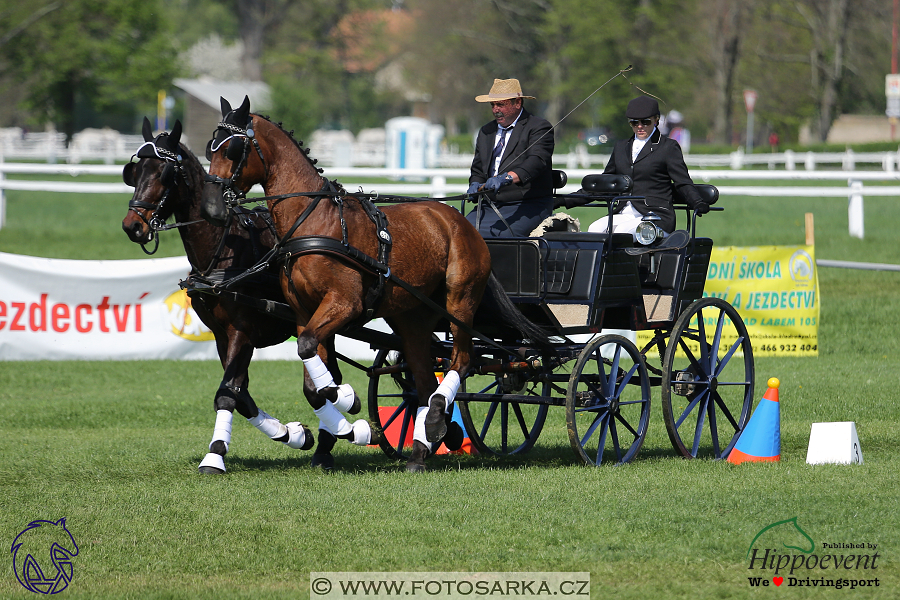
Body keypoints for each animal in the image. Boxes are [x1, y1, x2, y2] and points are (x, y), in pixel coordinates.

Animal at [122, 117, 362, 474]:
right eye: (134, 172)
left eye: (164, 172)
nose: (132, 225)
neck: (223, 249)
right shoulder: (221, 335)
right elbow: (240, 393)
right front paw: (293, 434)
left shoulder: (242, 331)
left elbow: (227, 392)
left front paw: (215, 454)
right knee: (328, 375)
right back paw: (327, 439)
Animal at [200, 97, 544, 474]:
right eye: (209, 146)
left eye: (232, 149)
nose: (211, 206)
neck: (314, 221)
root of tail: (461, 222)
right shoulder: (305, 314)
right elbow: (312, 378)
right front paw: (340, 418)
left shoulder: (343, 304)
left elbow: (311, 357)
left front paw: (347, 402)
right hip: (412, 318)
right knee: (424, 382)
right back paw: (426, 444)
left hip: (460, 302)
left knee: (462, 360)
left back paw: (437, 423)